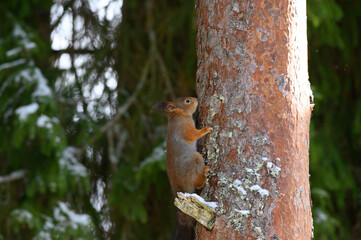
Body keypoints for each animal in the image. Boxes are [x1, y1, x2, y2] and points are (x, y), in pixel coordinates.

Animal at [152, 96, 211, 239]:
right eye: (187, 101)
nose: (196, 99)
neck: (179, 116)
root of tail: (181, 189)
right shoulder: (184, 129)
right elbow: (192, 135)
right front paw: (205, 130)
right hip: (194, 159)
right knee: (198, 184)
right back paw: (204, 173)